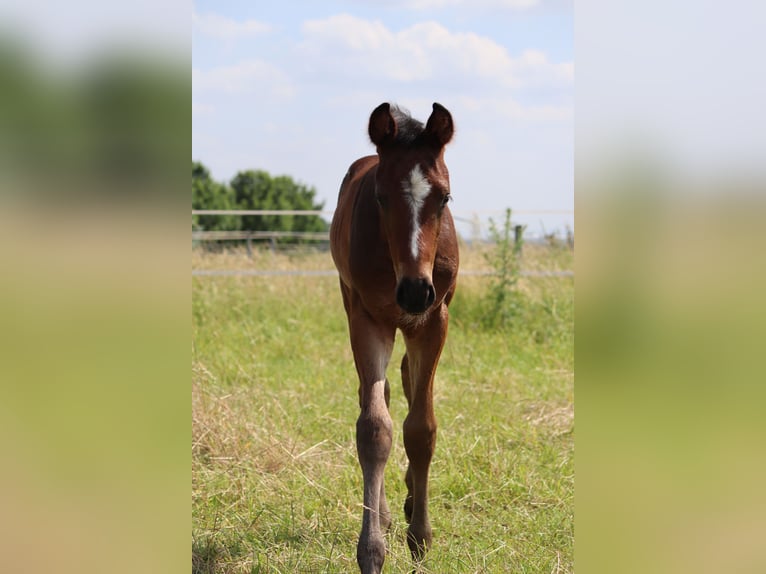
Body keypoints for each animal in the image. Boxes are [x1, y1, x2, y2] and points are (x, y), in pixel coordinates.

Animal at [328, 104, 460, 574]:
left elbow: (421, 428)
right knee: (378, 394)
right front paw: (372, 549)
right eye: (381, 197)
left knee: (406, 379)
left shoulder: (435, 319)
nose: (415, 291)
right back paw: (386, 512)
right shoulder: (368, 318)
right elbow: (374, 428)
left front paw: (420, 536)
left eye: (444, 197)